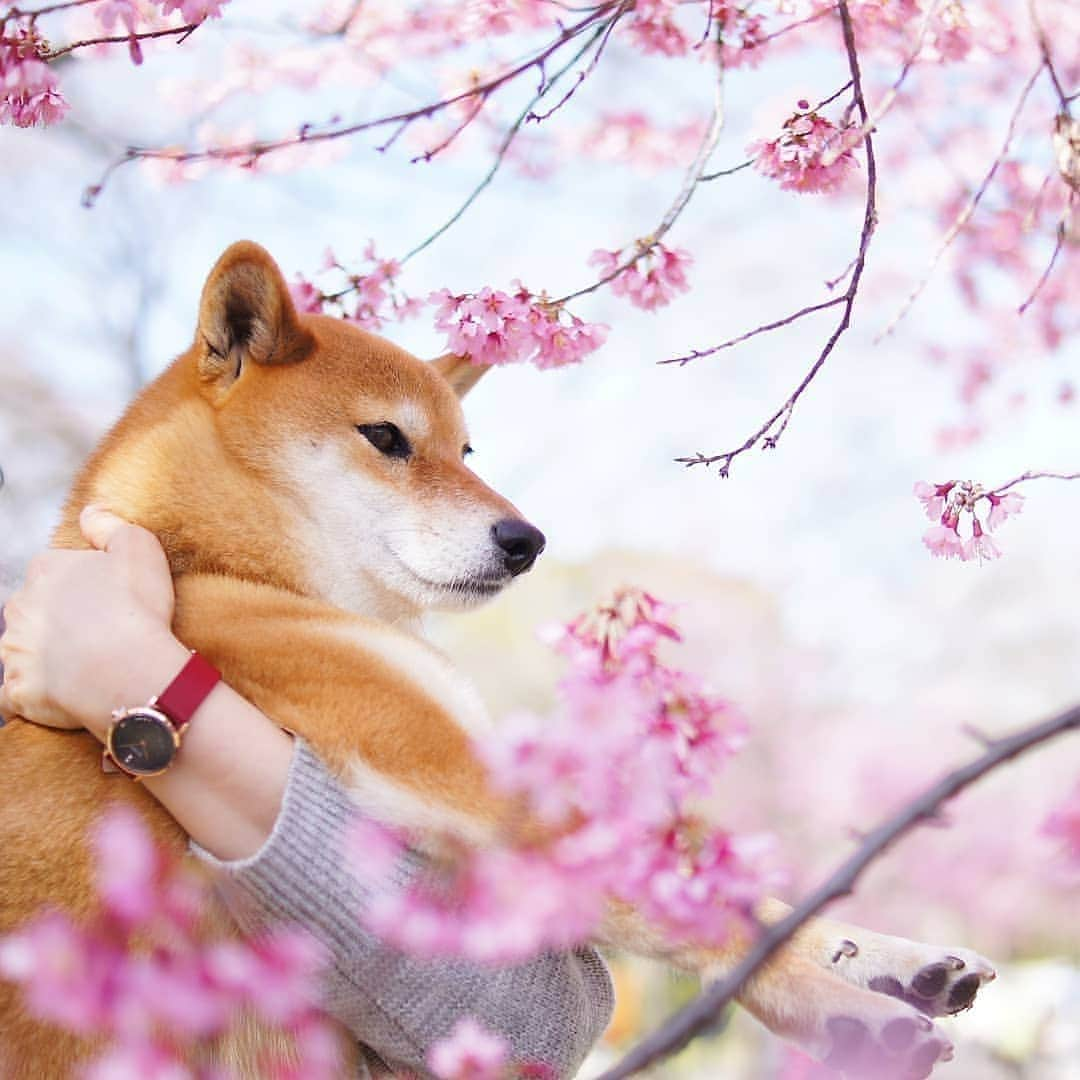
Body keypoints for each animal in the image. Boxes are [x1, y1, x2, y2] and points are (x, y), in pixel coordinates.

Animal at [0, 245, 993, 1080]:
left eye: (466, 449)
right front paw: (839, 1010)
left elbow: (718, 889)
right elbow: (681, 901)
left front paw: (884, 958)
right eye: (387, 438)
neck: (222, 569)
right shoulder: (453, 775)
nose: (528, 542)